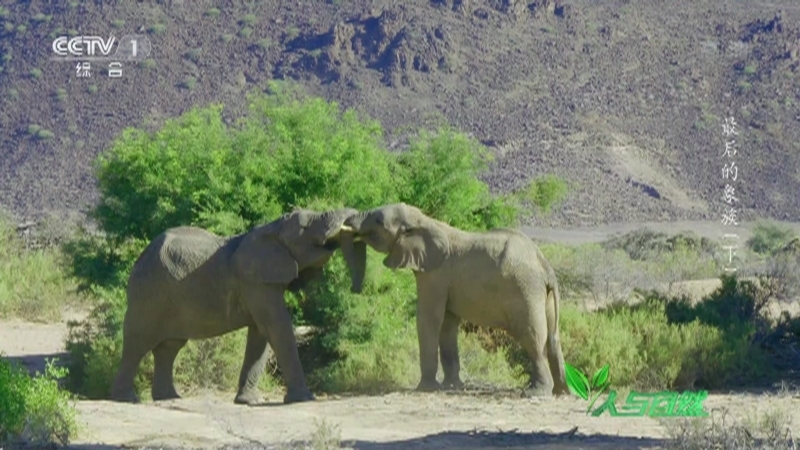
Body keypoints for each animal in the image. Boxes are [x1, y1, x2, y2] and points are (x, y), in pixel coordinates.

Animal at [109, 207, 366, 405]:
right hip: (148, 293)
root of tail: (139, 259)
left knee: (169, 347)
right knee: (138, 342)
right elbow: (277, 327)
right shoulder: (254, 282)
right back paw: (128, 399)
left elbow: (261, 335)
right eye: (304, 228)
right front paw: (304, 399)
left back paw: (170, 398)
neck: (272, 228)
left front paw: (248, 401)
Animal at [344, 203, 568, 397]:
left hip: (525, 291)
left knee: (532, 337)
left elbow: (429, 319)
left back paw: (535, 393)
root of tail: (545, 266)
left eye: (379, 221)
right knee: (553, 338)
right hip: (542, 295)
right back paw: (561, 392)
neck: (424, 220)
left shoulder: (435, 275)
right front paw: (451, 386)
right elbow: (448, 325)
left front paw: (426, 388)